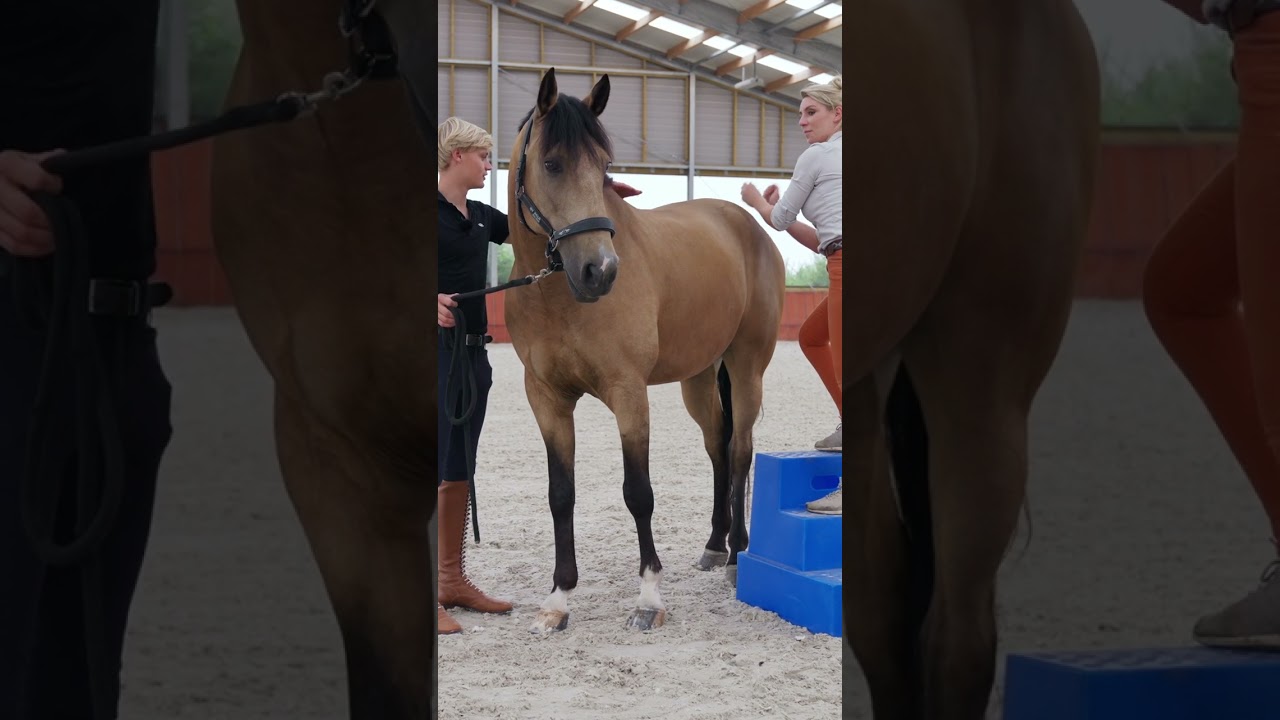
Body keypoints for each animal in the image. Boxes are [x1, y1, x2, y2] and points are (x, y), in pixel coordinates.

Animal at [502, 68, 787, 634]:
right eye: (552, 163)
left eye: (605, 168)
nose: (602, 271)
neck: (557, 296)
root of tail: (748, 225)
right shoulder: (545, 398)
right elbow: (560, 494)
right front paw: (559, 598)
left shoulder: (628, 392)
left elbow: (639, 492)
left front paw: (649, 598)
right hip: (698, 379)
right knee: (718, 446)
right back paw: (715, 544)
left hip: (747, 368)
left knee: (740, 450)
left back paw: (738, 556)